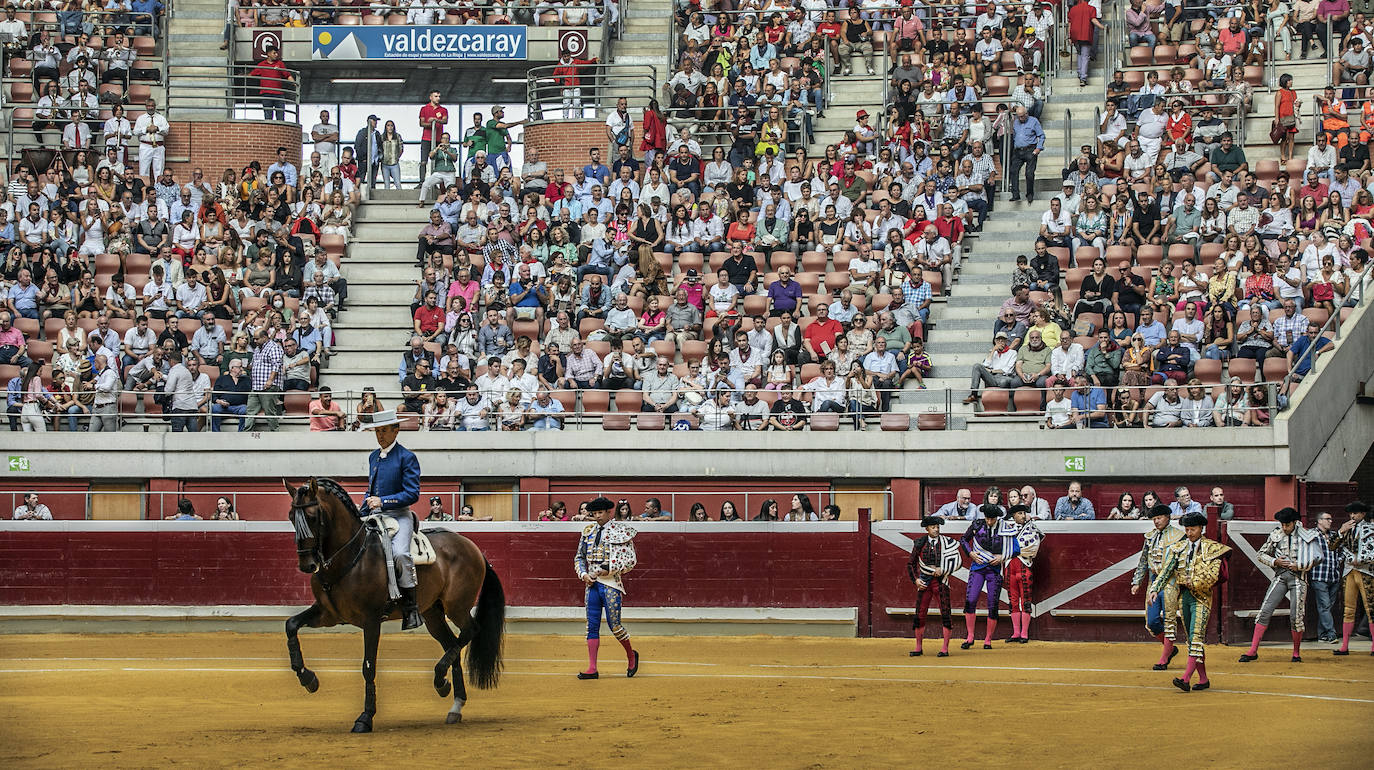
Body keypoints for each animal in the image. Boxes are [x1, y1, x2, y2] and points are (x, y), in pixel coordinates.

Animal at [284, 475, 505, 731]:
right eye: (291, 516)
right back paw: (454, 703)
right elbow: (291, 625)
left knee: (471, 630)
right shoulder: (328, 615)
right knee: (452, 645)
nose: (307, 564)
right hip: (433, 614)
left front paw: (365, 717)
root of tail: (473, 548)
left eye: (311, 516)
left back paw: (440, 679)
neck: (350, 557)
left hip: (457, 606)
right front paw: (307, 677)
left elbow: (368, 666)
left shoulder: (371, 620)